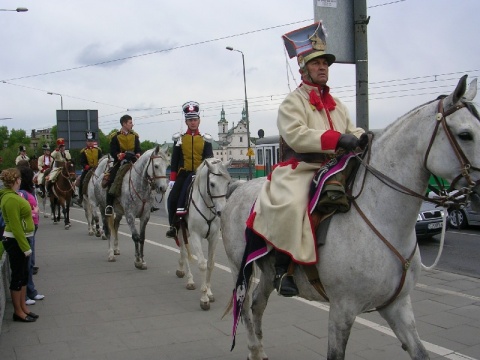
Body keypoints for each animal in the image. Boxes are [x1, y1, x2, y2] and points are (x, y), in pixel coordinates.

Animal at [166, 159, 232, 310]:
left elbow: (210, 264)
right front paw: (204, 298)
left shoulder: (214, 237)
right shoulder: (196, 236)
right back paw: (189, 280)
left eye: (228, 183)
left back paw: (180, 269)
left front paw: (209, 292)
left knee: (183, 252)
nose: (222, 211)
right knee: (184, 252)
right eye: (212, 184)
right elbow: (202, 264)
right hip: (180, 230)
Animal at [221, 74, 480, 358]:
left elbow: (420, 351)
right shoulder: (342, 309)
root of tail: (238, 186)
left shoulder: (397, 305)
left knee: (256, 305)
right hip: (239, 268)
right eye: (465, 135)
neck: (382, 219)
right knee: (245, 308)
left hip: (266, 274)